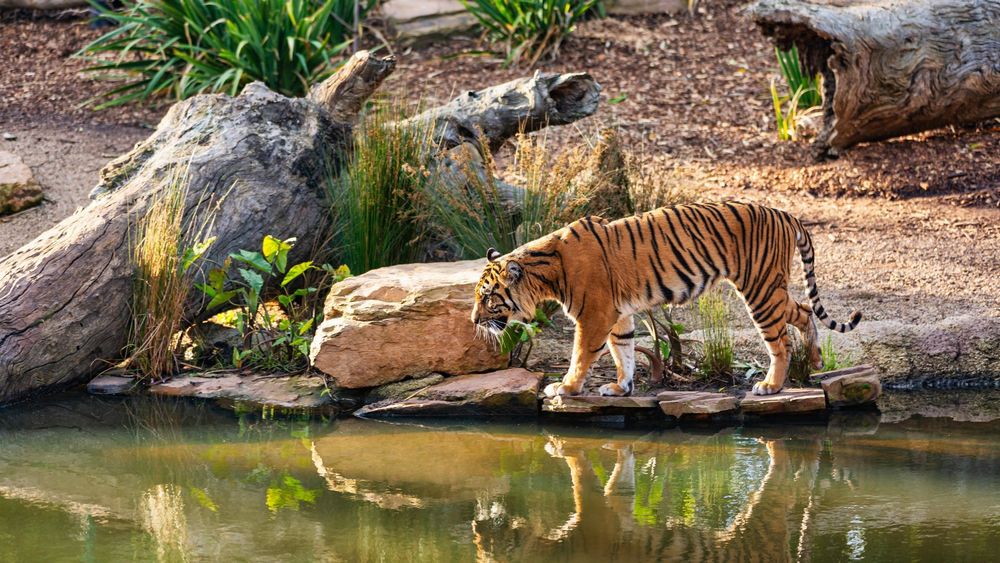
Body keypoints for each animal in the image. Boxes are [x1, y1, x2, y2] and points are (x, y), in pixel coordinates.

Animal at [471, 201, 861, 397]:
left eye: (489, 298)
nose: (473, 320)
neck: (546, 271)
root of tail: (784, 212)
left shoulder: (594, 315)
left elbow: (581, 355)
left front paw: (565, 387)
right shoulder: (618, 315)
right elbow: (624, 352)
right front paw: (621, 387)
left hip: (760, 289)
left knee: (779, 341)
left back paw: (771, 385)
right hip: (772, 288)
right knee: (805, 311)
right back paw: (815, 360)